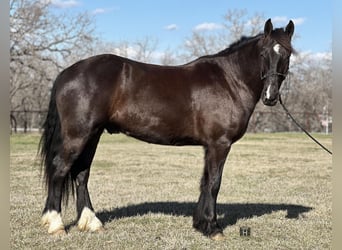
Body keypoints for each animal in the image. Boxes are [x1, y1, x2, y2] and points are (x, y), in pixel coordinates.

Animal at [38, 19, 294, 238]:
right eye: (263, 53)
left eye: (288, 54)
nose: (270, 96)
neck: (229, 80)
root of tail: (67, 72)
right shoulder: (219, 144)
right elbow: (214, 183)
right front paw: (213, 228)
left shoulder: (209, 146)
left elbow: (204, 182)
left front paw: (200, 224)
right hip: (78, 135)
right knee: (60, 169)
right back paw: (56, 225)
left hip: (93, 135)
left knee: (82, 173)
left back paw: (92, 222)